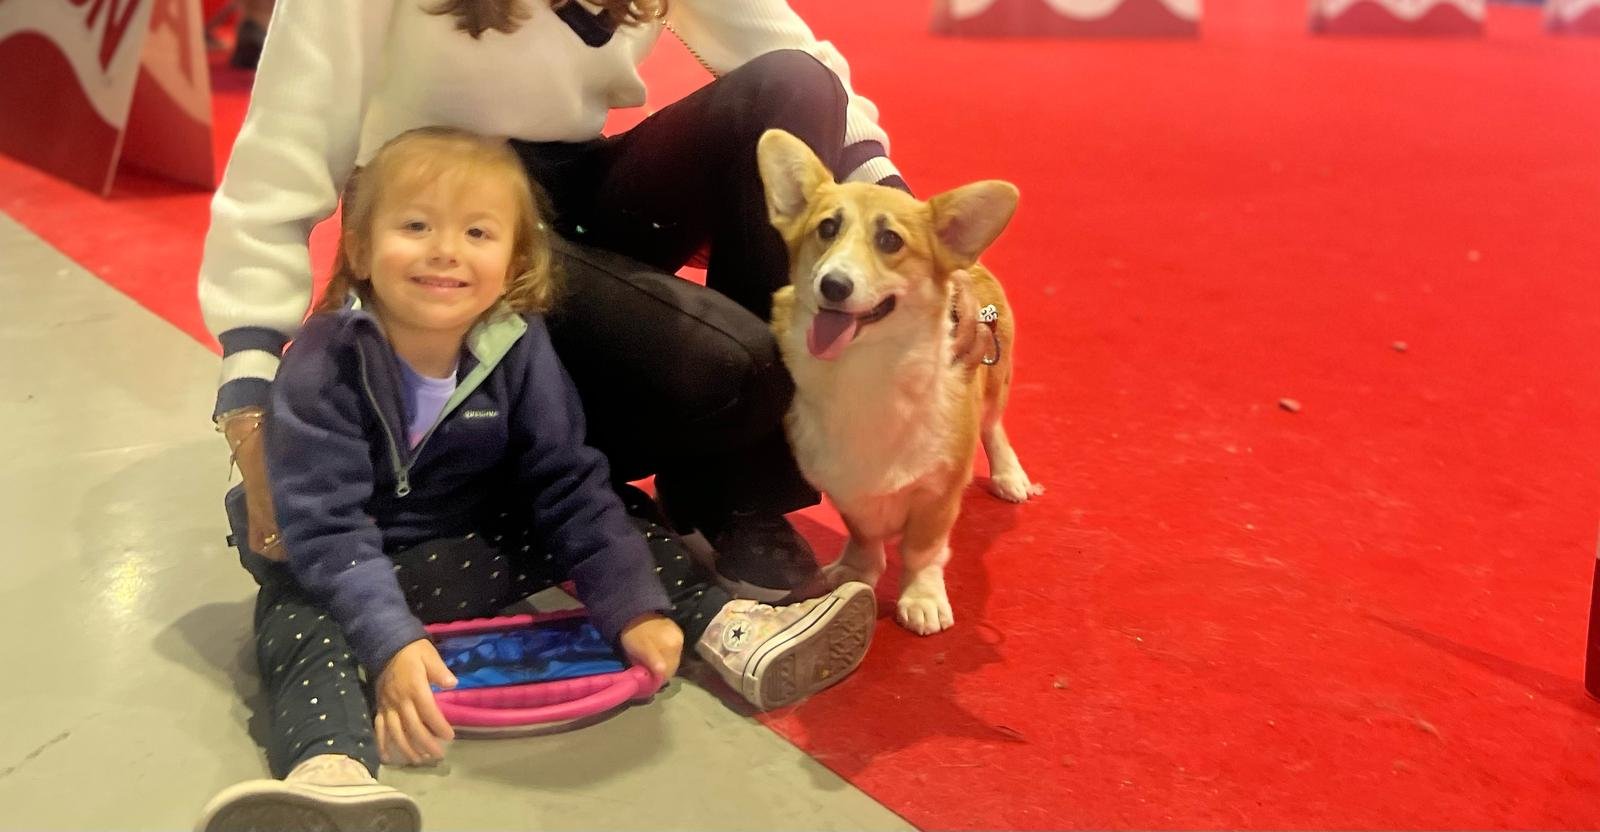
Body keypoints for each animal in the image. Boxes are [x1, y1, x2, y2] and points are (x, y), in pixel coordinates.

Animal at [757, 129, 1041, 636]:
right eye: (826, 228)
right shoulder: (846, 489)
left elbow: (922, 550)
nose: (833, 285)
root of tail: (970, 261)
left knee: (994, 427)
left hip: (996, 377)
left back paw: (1010, 476)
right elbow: (864, 535)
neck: (863, 373)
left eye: (890, 240)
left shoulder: (938, 493)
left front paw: (922, 598)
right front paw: (856, 569)